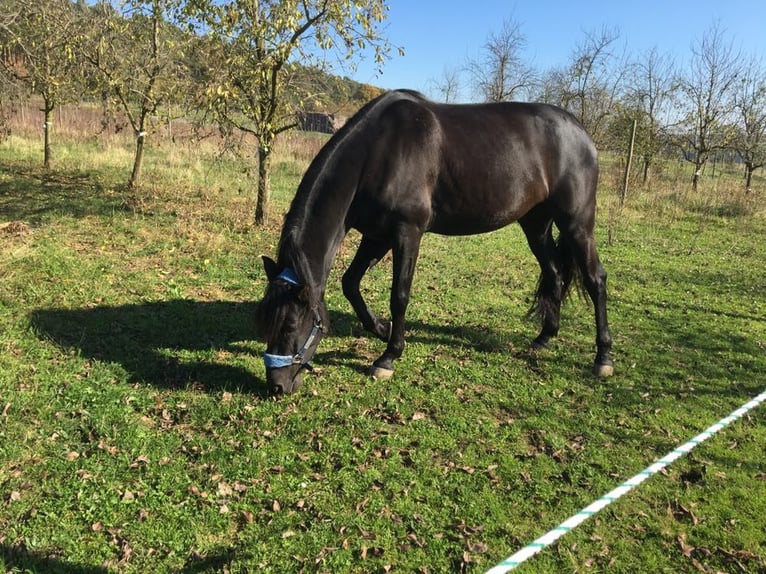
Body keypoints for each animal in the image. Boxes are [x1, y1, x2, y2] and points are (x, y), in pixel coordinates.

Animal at [255, 90, 616, 396]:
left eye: (290, 325)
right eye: (265, 321)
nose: (277, 386)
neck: (378, 151)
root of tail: (581, 132)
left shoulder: (407, 232)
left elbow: (399, 295)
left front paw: (388, 357)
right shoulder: (376, 235)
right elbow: (350, 283)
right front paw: (382, 329)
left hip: (576, 222)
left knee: (595, 279)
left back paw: (603, 358)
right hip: (536, 224)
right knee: (554, 273)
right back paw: (543, 339)